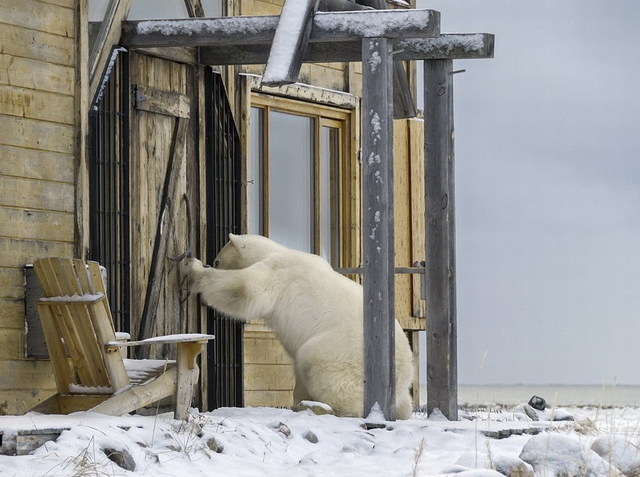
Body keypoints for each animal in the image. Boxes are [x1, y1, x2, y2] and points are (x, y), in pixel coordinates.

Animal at [180, 233, 412, 416]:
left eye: (218, 261)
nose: (211, 262)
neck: (277, 251)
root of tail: (403, 371)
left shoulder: (279, 273)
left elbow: (245, 288)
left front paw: (194, 269)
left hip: (342, 350)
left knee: (315, 363)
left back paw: (334, 408)